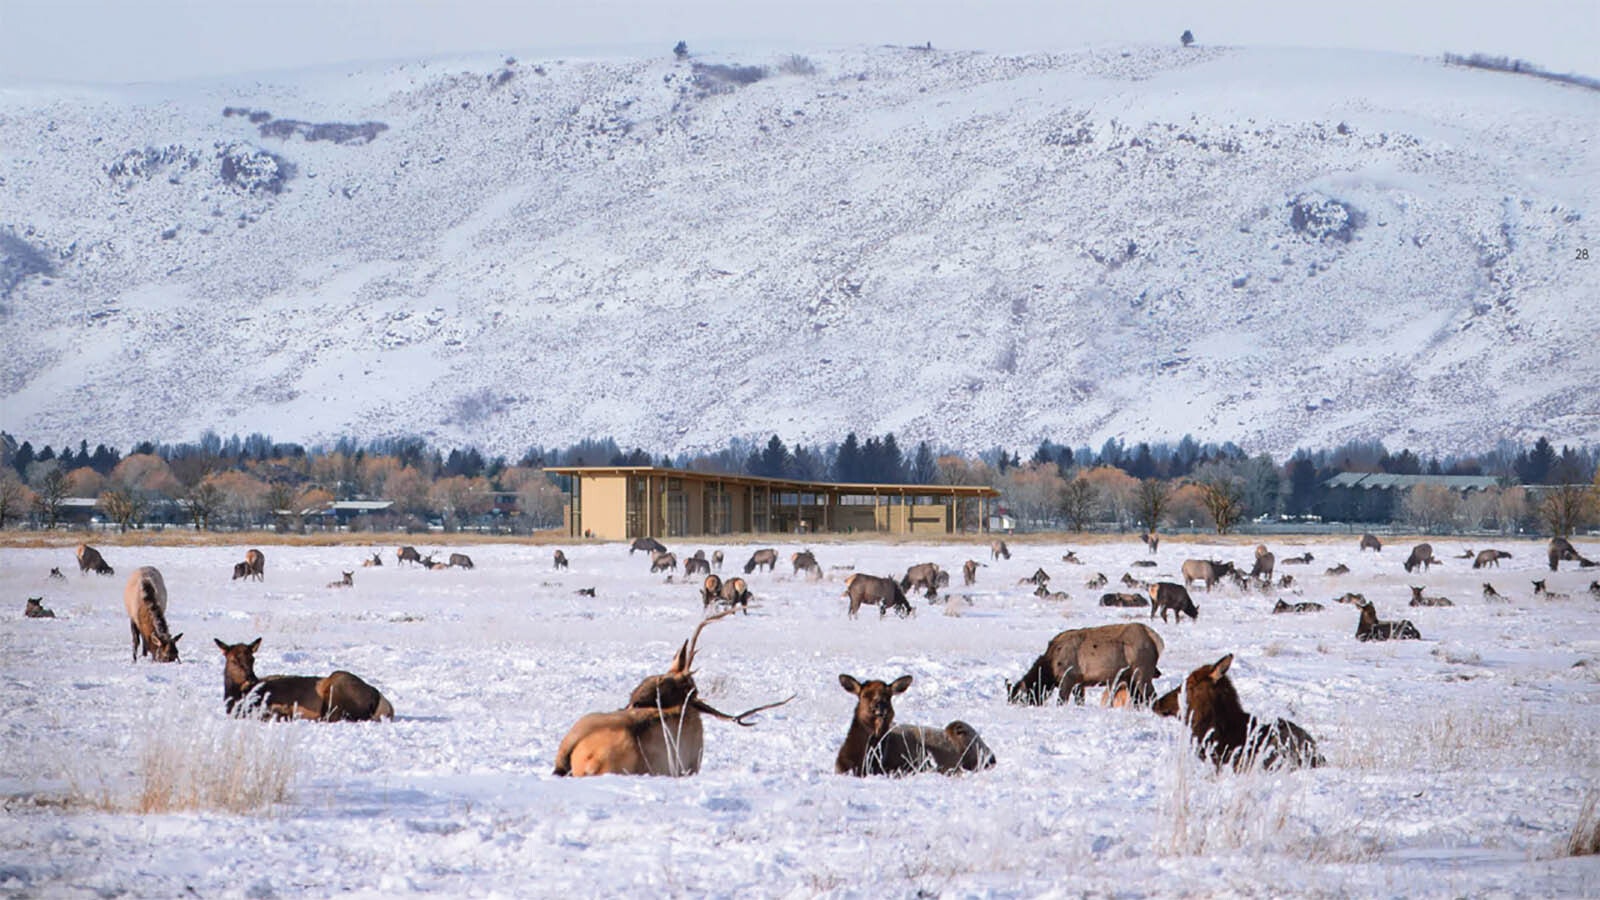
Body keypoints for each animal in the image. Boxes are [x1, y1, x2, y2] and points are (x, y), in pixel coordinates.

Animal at [216, 634, 393, 717]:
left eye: (252, 659)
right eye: (233, 660)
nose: (251, 679)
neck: (234, 698)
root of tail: (379, 699)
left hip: (338, 685)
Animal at [1004, 621, 1171, 704]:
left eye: (1020, 699)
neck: (1050, 668)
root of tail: (1157, 640)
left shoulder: (1068, 677)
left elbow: (1061, 701)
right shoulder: (1080, 682)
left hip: (1142, 672)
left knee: (1151, 696)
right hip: (1130, 677)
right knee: (1138, 699)